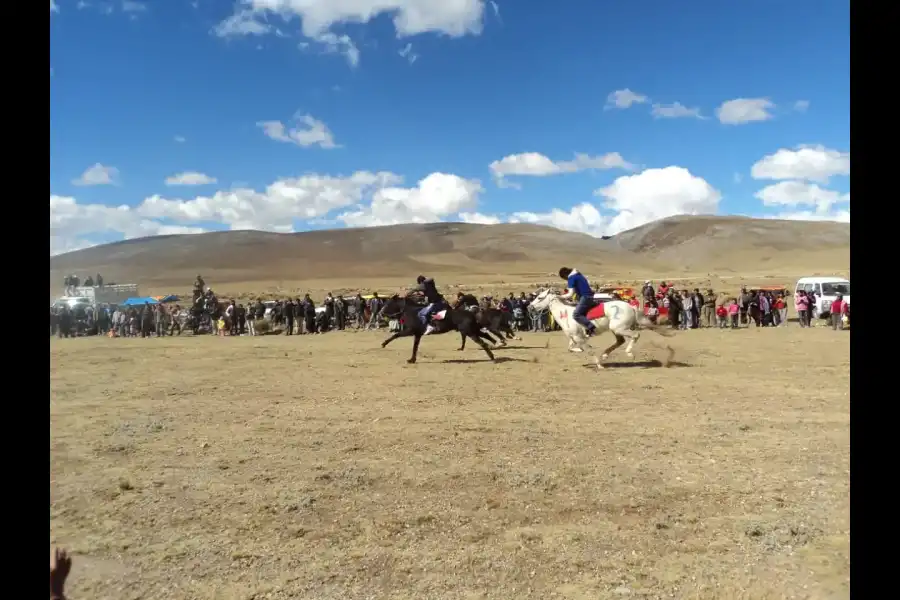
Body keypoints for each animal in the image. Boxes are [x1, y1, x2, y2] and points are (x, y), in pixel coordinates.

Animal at [528, 288, 676, 368]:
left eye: (540, 297)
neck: (565, 314)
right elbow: (571, 348)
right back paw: (605, 354)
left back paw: (629, 353)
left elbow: (588, 350)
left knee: (635, 336)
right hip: (616, 330)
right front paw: (581, 351)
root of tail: (631, 307)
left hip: (619, 328)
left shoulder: (578, 337)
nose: (529, 307)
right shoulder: (574, 338)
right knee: (620, 341)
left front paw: (599, 364)